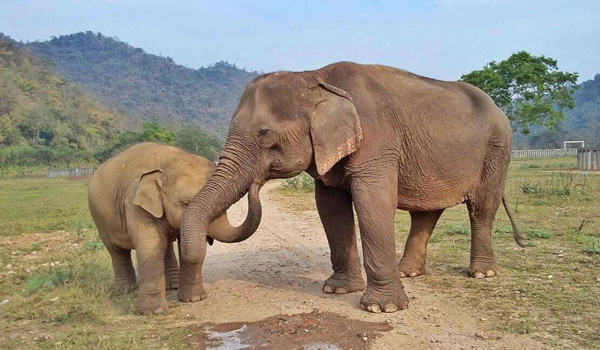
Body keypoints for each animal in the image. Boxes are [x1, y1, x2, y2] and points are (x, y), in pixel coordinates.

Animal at [88, 142, 241, 314]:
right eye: (185, 203)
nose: (209, 238)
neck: (166, 161)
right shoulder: (135, 205)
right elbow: (149, 246)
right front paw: (154, 312)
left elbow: (181, 245)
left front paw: (194, 299)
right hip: (99, 217)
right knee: (116, 251)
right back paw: (126, 290)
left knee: (165, 246)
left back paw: (172, 286)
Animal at [180, 61, 524, 314]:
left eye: (265, 134)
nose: (193, 297)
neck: (314, 76)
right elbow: (330, 207)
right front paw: (338, 289)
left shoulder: (377, 141)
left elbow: (373, 201)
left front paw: (382, 308)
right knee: (426, 212)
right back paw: (408, 273)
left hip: (497, 150)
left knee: (482, 208)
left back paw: (482, 273)